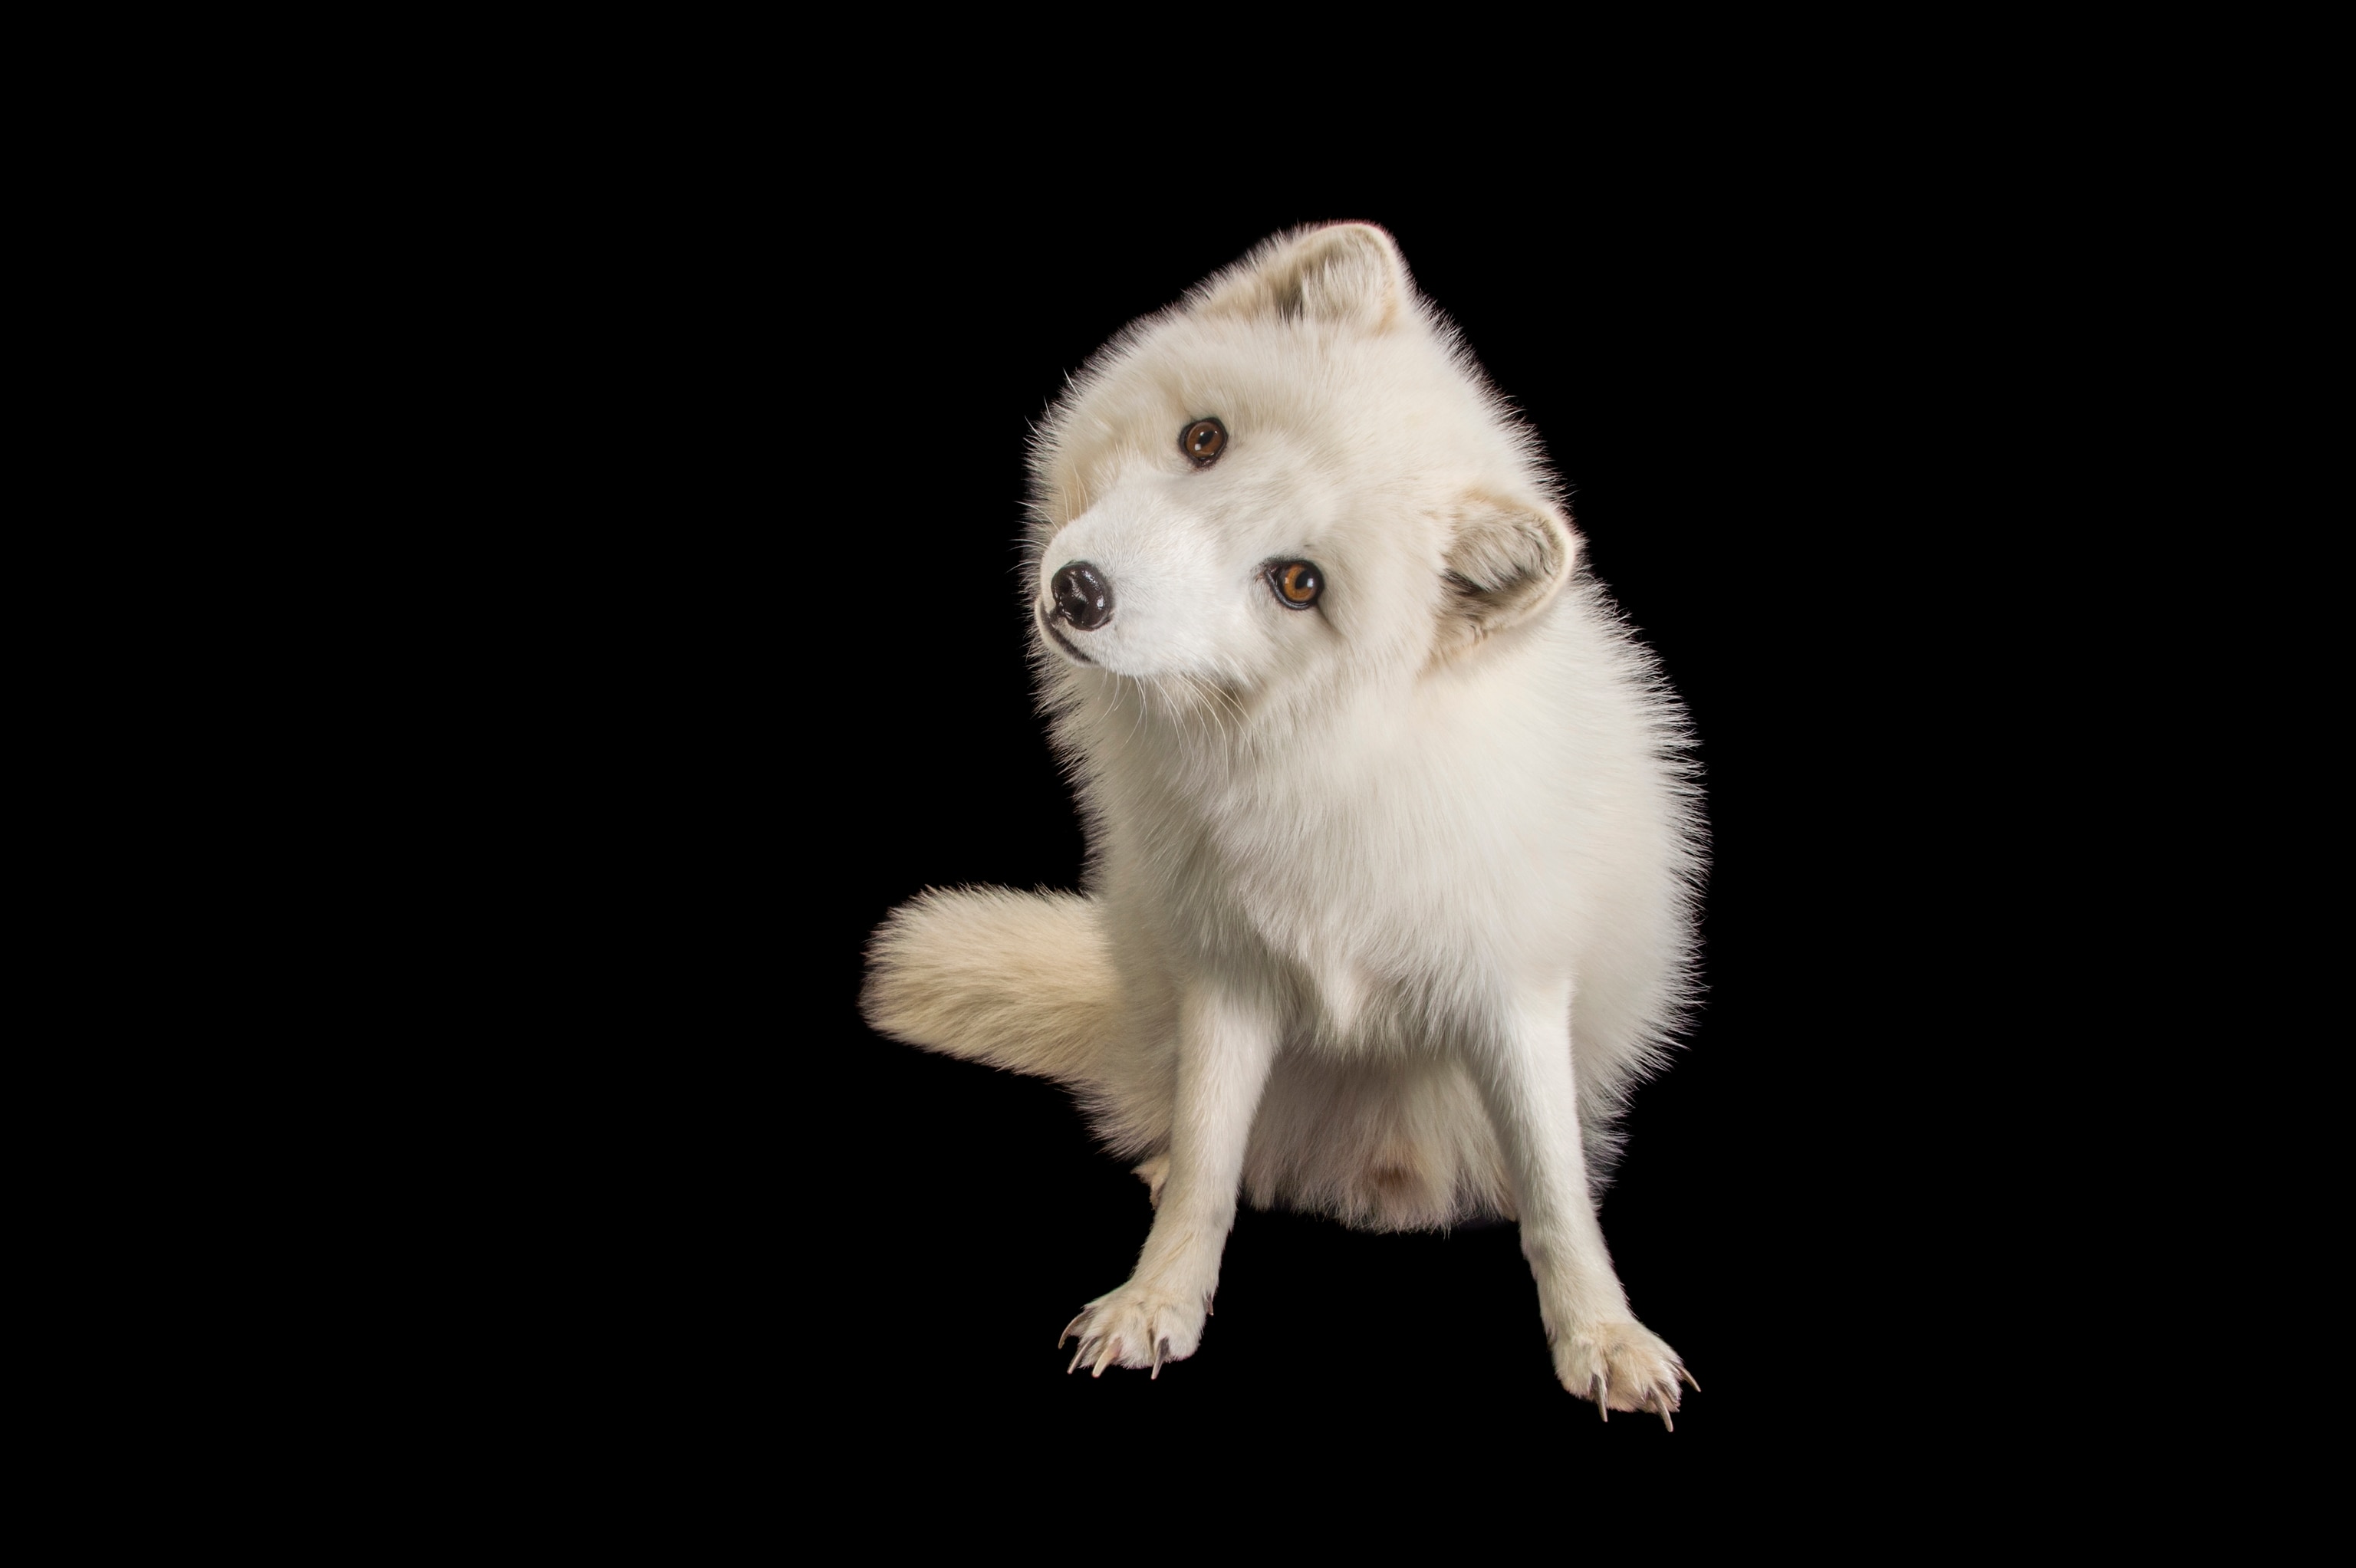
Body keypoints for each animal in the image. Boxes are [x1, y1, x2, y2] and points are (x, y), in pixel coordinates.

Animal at [863, 222, 1704, 1423]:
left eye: (1297, 584)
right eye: (1203, 439)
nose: (1080, 592)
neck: (1332, 768)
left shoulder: (1515, 989)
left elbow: (1554, 1197)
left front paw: (1604, 1333)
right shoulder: (1230, 975)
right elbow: (1212, 1165)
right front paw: (1157, 1298)